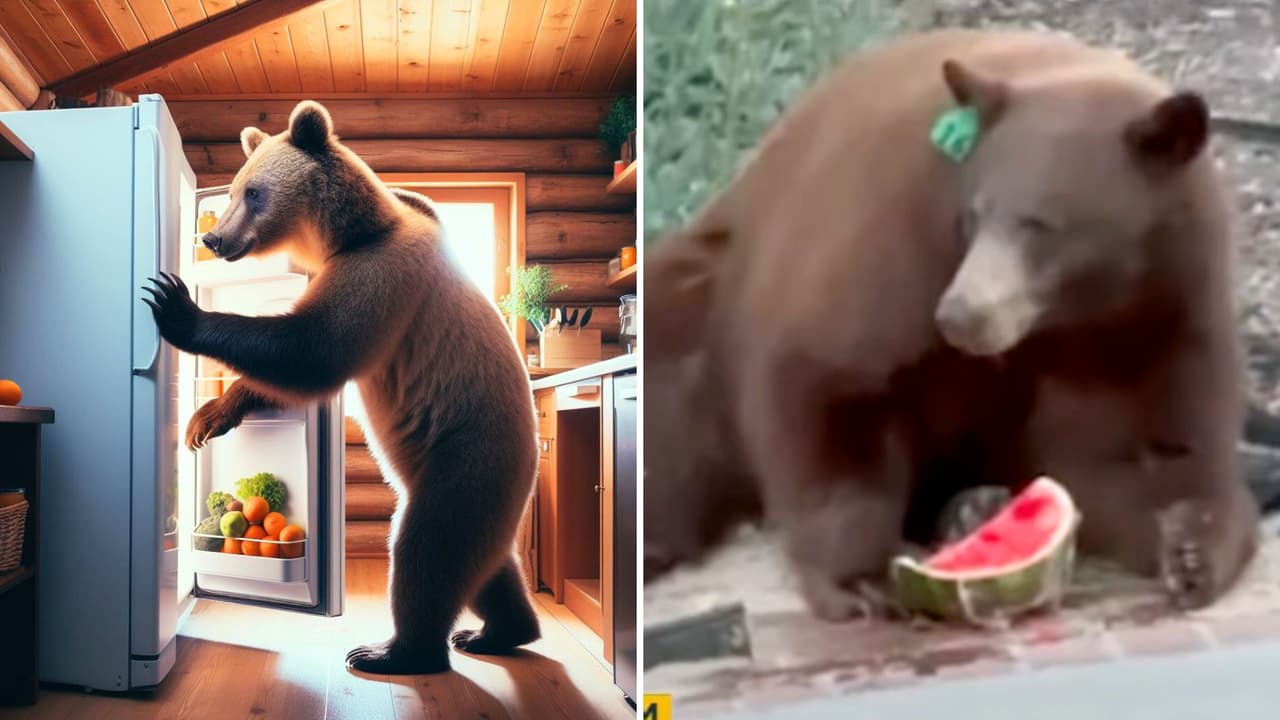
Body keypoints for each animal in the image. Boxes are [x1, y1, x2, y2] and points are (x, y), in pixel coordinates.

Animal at [143, 100, 542, 673]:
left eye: (252, 192)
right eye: (235, 188)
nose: (214, 240)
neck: (347, 235)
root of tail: (531, 460)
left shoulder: (378, 274)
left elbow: (313, 349)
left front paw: (177, 306)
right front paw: (209, 416)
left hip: (466, 453)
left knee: (428, 547)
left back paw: (393, 651)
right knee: (486, 563)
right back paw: (500, 630)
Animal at [643, 28, 1260, 619]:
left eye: (1042, 225)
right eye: (975, 214)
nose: (962, 315)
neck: (1071, 320)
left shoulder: (1163, 306)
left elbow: (1159, 446)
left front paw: (1193, 549)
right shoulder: (895, 243)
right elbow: (829, 385)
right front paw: (865, 577)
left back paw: (972, 506)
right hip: (696, 308)